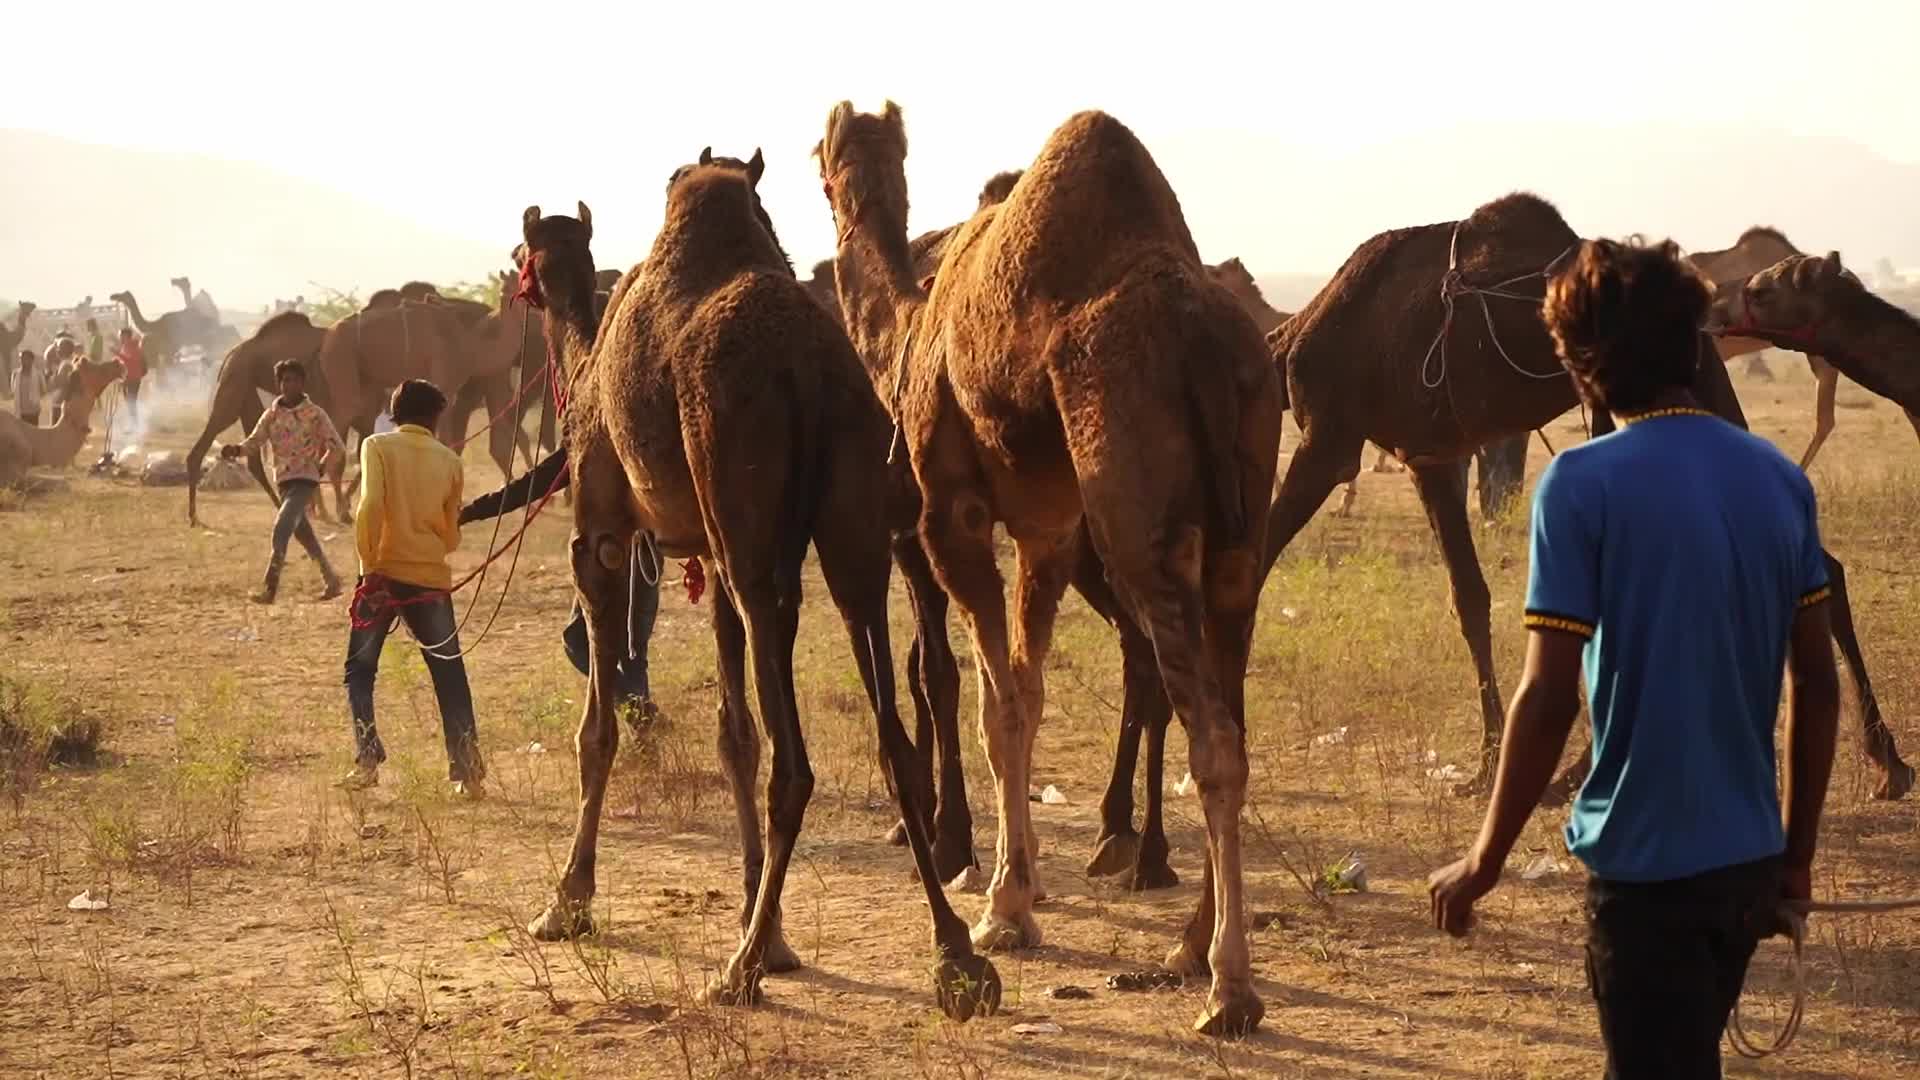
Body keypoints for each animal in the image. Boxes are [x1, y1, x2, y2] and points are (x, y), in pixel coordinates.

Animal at [518, 157, 996, 1019]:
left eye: (526, 258)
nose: (521, 277)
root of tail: (807, 372)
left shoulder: (603, 529)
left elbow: (596, 731)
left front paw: (568, 901)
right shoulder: (716, 553)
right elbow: (734, 731)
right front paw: (762, 921)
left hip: (742, 489)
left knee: (797, 764)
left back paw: (738, 972)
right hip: (848, 523)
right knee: (891, 729)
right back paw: (955, 957)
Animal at [820, 102, 1282, 1036]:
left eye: (821, 154)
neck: (911, 330)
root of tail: (1206, 343)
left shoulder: (952, 514)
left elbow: (995, 708)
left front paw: (1001, 910)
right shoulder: (1049, 530)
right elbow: (1027, 696)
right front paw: (1018, 894)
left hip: (1134, 512)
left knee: (1212, 737)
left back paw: (1228, 986)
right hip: (1241, 529)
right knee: (1234, 714)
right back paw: (1187, 945)